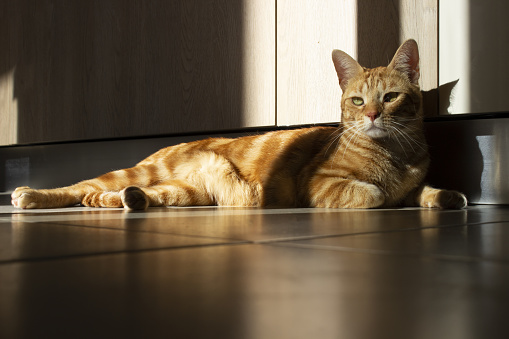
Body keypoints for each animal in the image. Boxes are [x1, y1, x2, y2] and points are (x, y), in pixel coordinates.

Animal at [9, 39, 466, 210]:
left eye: (390, 98)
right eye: (357, 101)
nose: (372, 115)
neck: (396, 153)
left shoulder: (414, 182)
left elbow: (427, 192)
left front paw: (446, 197)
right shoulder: (317, 183)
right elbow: (372, 193)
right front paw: (384, 195)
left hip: (187, 192)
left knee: (140, 195)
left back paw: (121, 202)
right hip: (140, 172)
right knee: (78, 186)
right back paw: (29, 195)